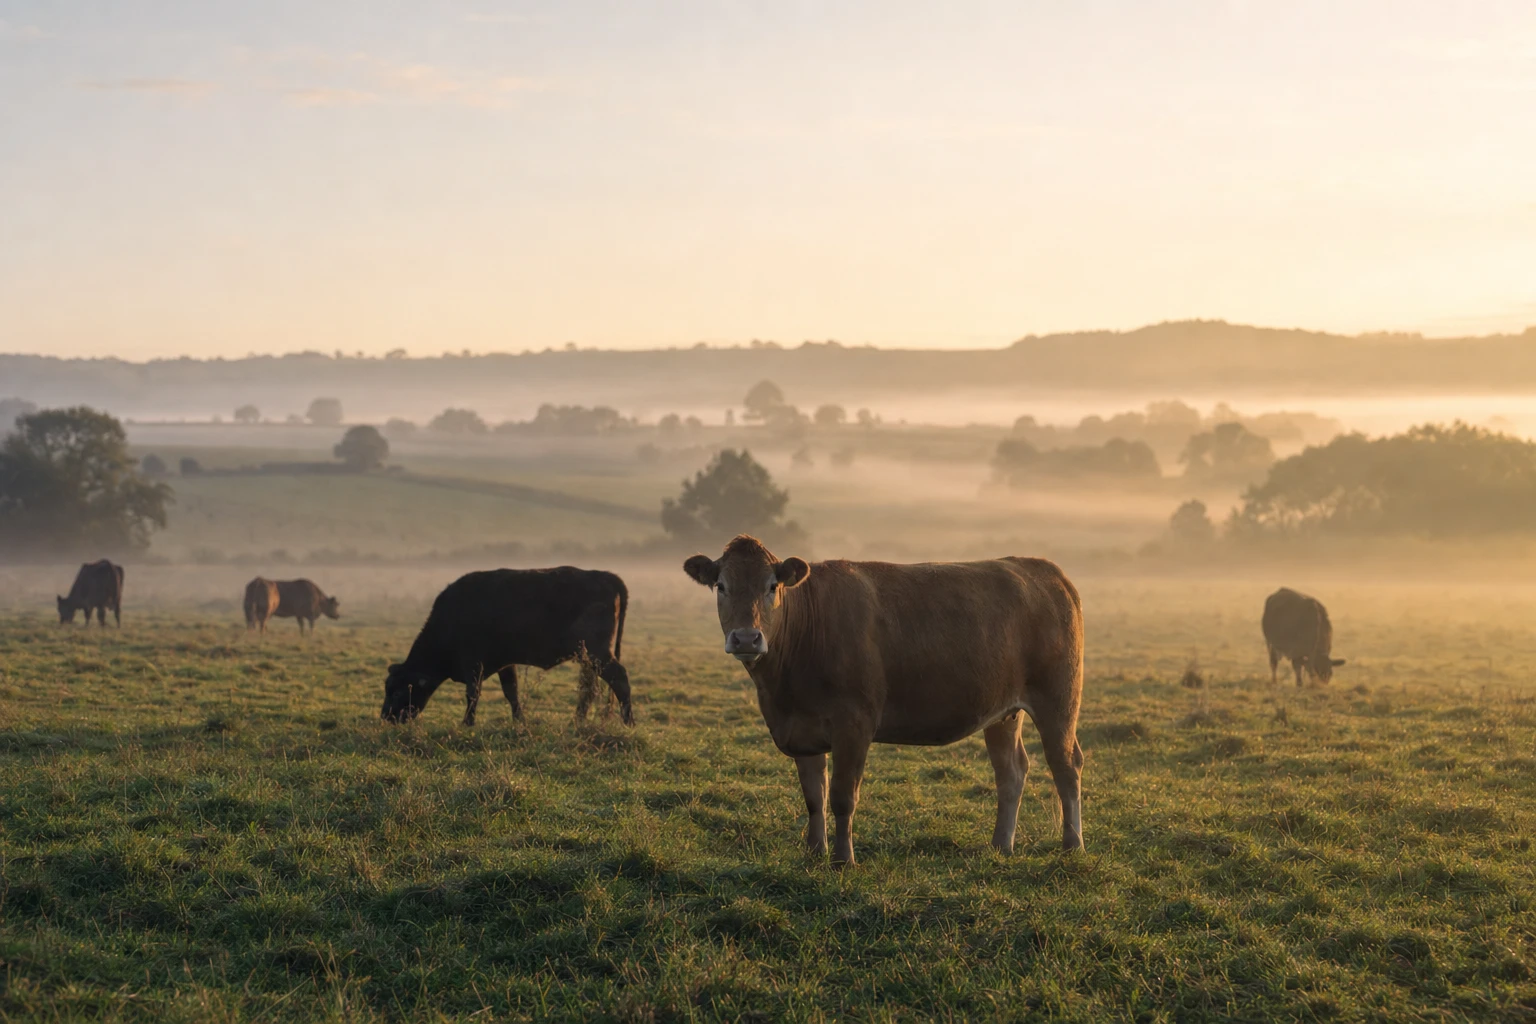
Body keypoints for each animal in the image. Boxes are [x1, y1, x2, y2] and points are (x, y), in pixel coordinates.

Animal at [381, 567, 632, 727]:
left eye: (399, 690)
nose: (386, 717)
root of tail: (605, 576)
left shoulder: (473, 663)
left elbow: (473, 693)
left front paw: (467, 723)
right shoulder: (505, 663)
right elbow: (511, 692)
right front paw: (519, 720)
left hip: (597, 654)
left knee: (618, 678)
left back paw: (628, 721)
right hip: (588, 658)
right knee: (590, 688)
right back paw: (578, 721)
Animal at [683, 535, 1084, 866]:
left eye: (772, 586)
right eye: (721, 586)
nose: (746, 638)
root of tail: (1042, 567)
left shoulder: (854, 724)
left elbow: (842, 796)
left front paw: (843, 860)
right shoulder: (802, 729)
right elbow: (814, 796)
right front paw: (814, 852)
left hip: (1059, 700)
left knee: (1065, 766)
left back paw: (1072, 846)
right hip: (1003, 712)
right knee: (1011, 772)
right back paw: (1001, 845)